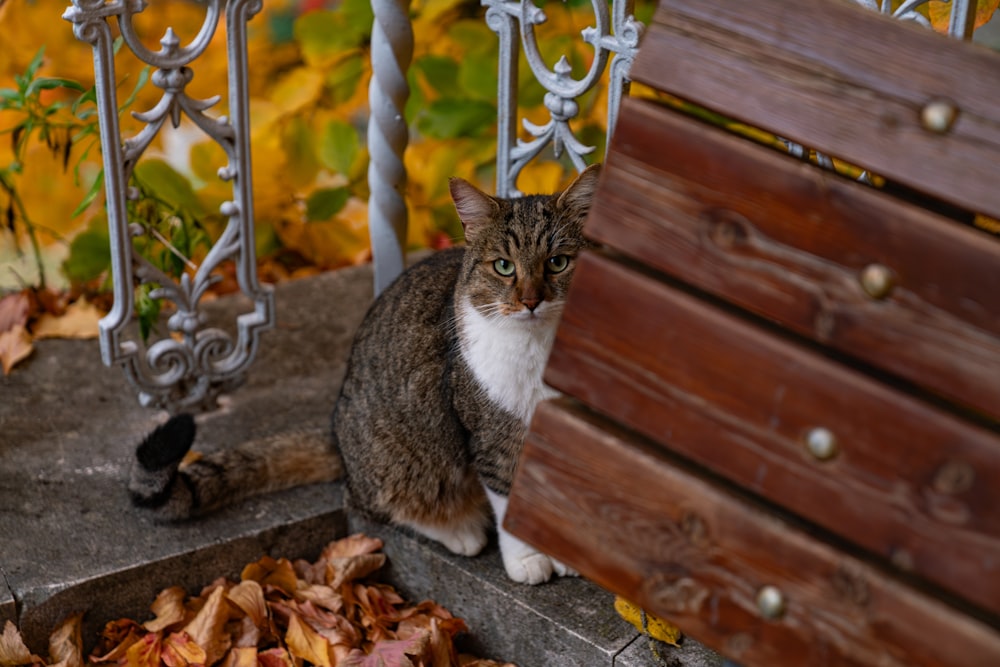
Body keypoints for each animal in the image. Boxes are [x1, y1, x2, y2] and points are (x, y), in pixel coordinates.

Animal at [132, 164, 600, 588]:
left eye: (558, 263)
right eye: (504, 266)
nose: (531, 300)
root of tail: (338, 435)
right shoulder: (492, 436)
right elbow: (508, 502)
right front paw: (528, 559)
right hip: (402, 459)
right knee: (372, 500)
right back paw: (458, 530)